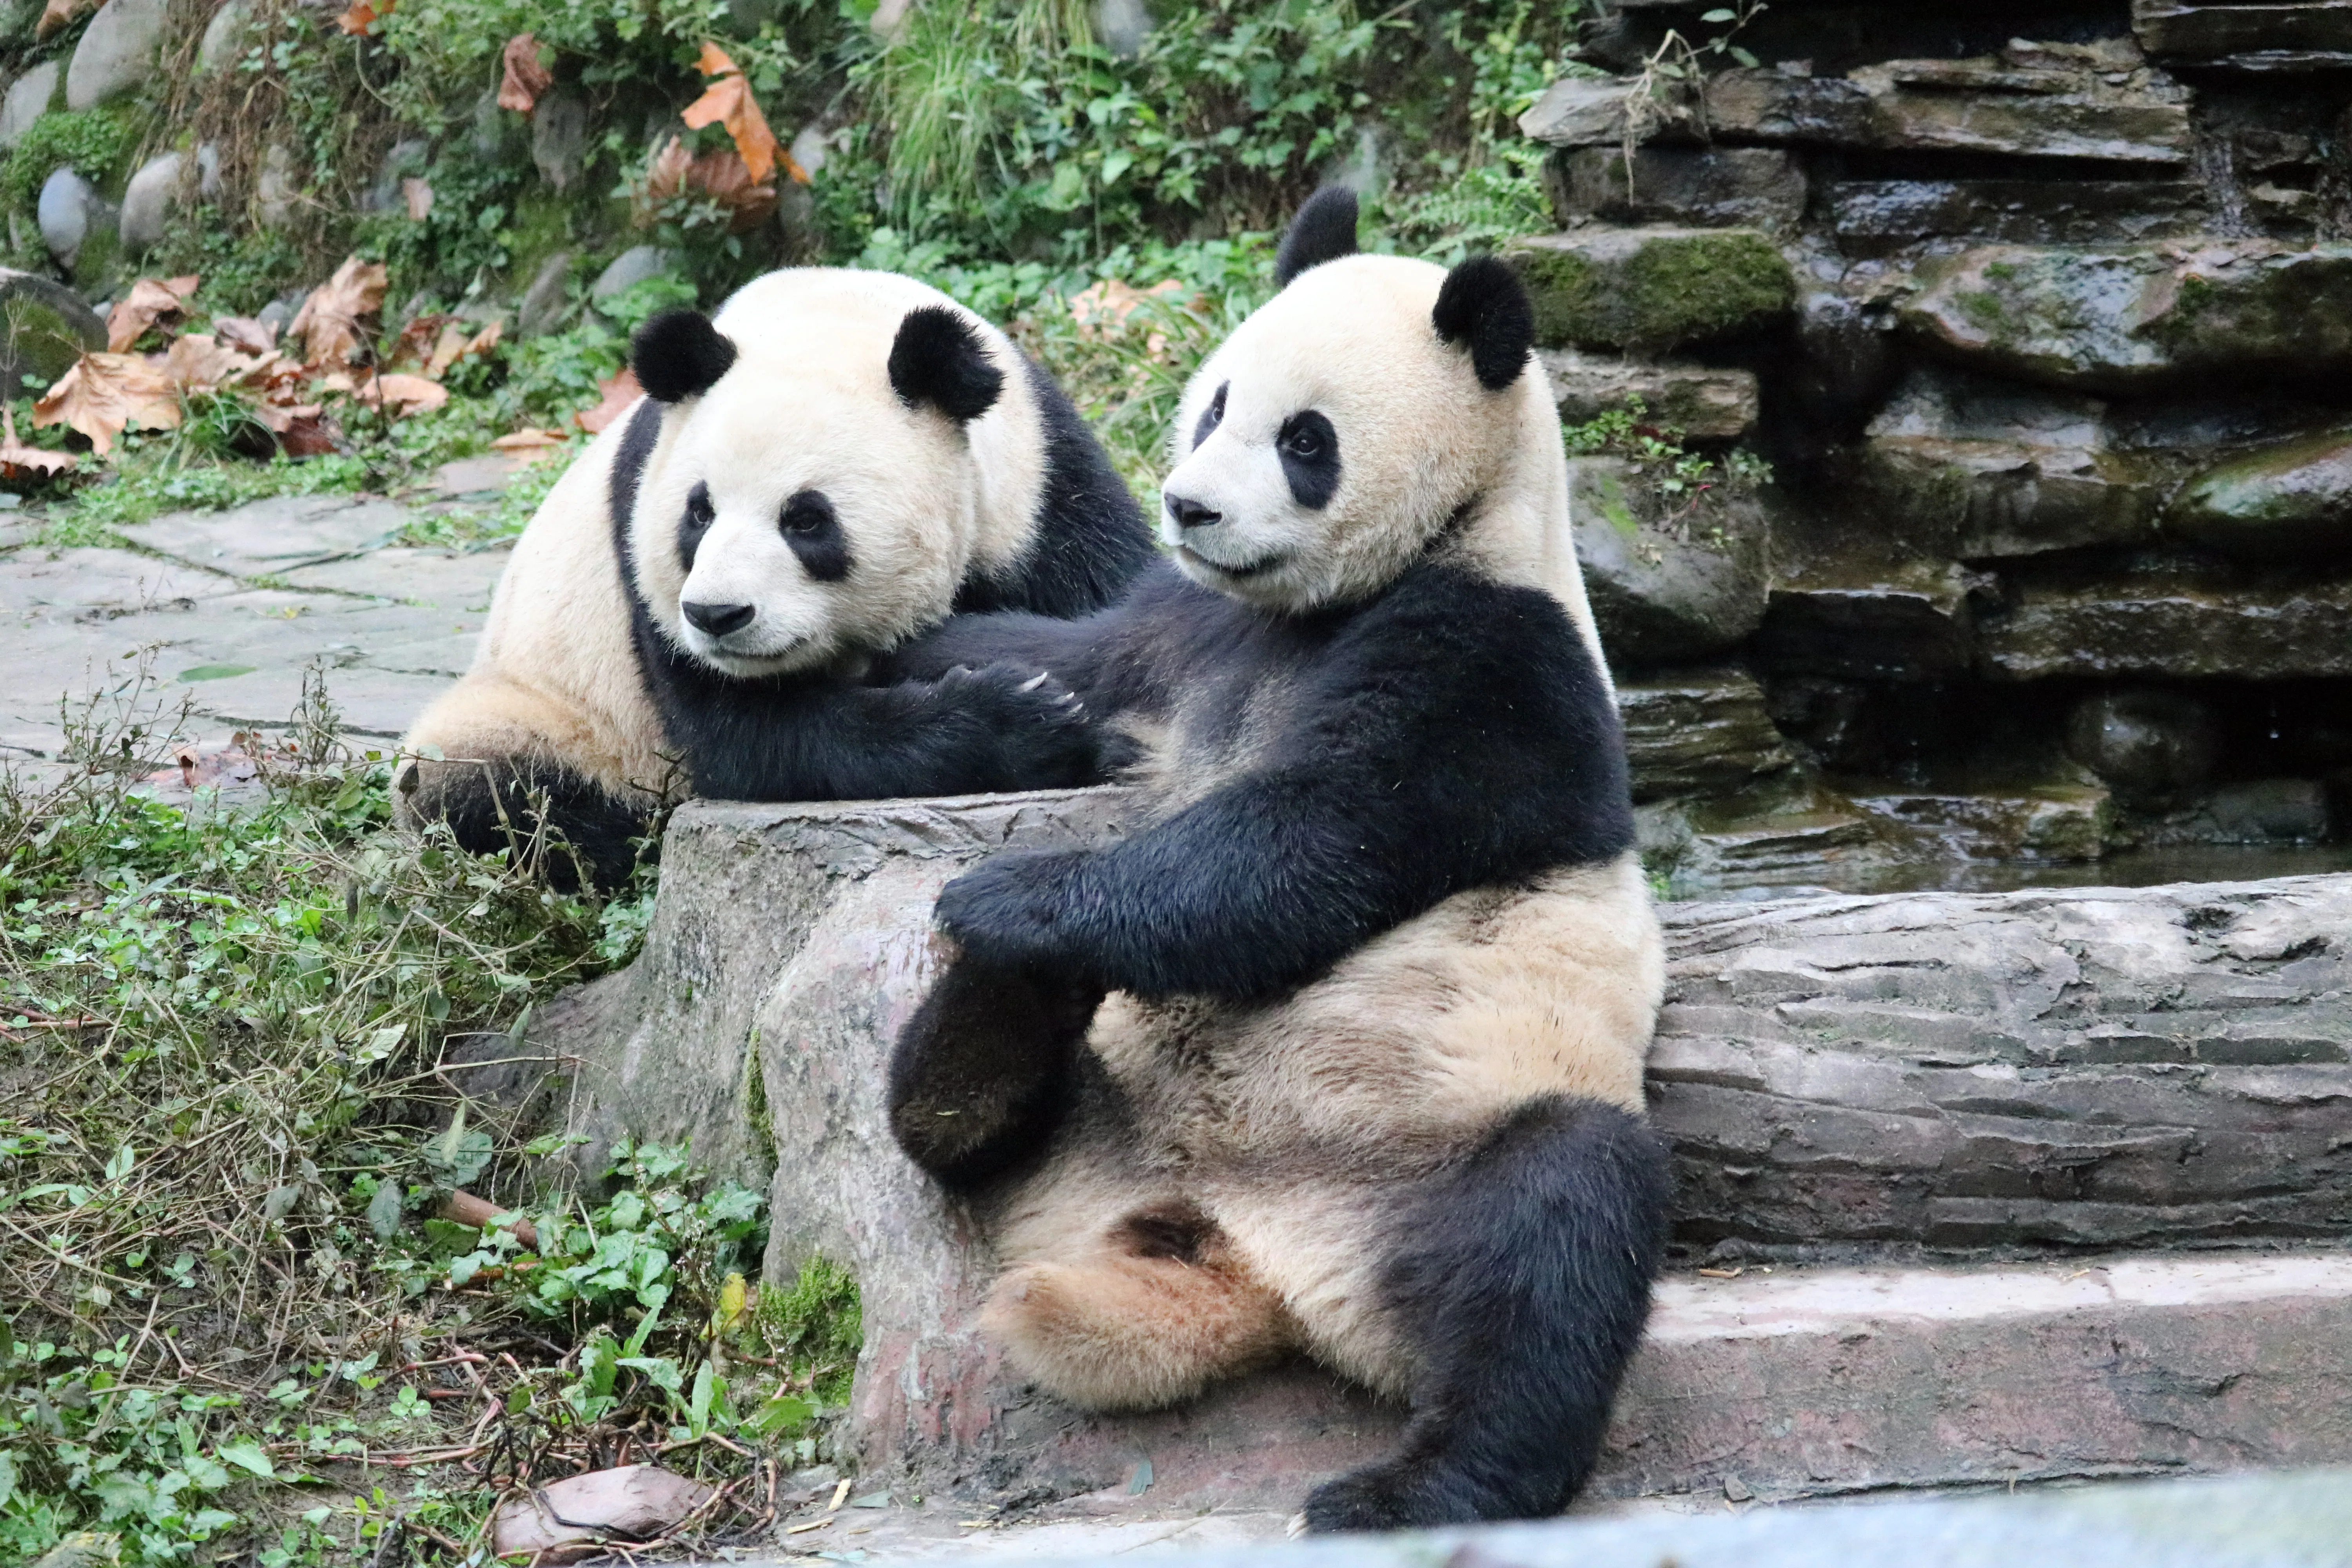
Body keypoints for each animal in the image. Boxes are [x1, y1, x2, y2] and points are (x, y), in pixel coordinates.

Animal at [396, 268, 1157, 889]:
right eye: (698, 514)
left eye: (807, 521)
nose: (717, 615)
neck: (828, 317)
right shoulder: (639, 541)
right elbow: (754, 737)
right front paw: (1021, 716)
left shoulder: (1043, 488)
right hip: (543, 709)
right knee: (497, 796)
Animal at [880, 188, 1669, 1533]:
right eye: (1211, 406)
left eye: (1306, 441)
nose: (1190, 507)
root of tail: (1243, 1246)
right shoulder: (1179, 627)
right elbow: (1056, 649)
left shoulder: (1495, 664)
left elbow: (1305, 845)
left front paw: (1009, 891)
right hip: (1097, 1117)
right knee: (956, 1134)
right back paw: (983, 1034)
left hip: (1447, 1124)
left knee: (1555, 1232)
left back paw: (1415, 1488)